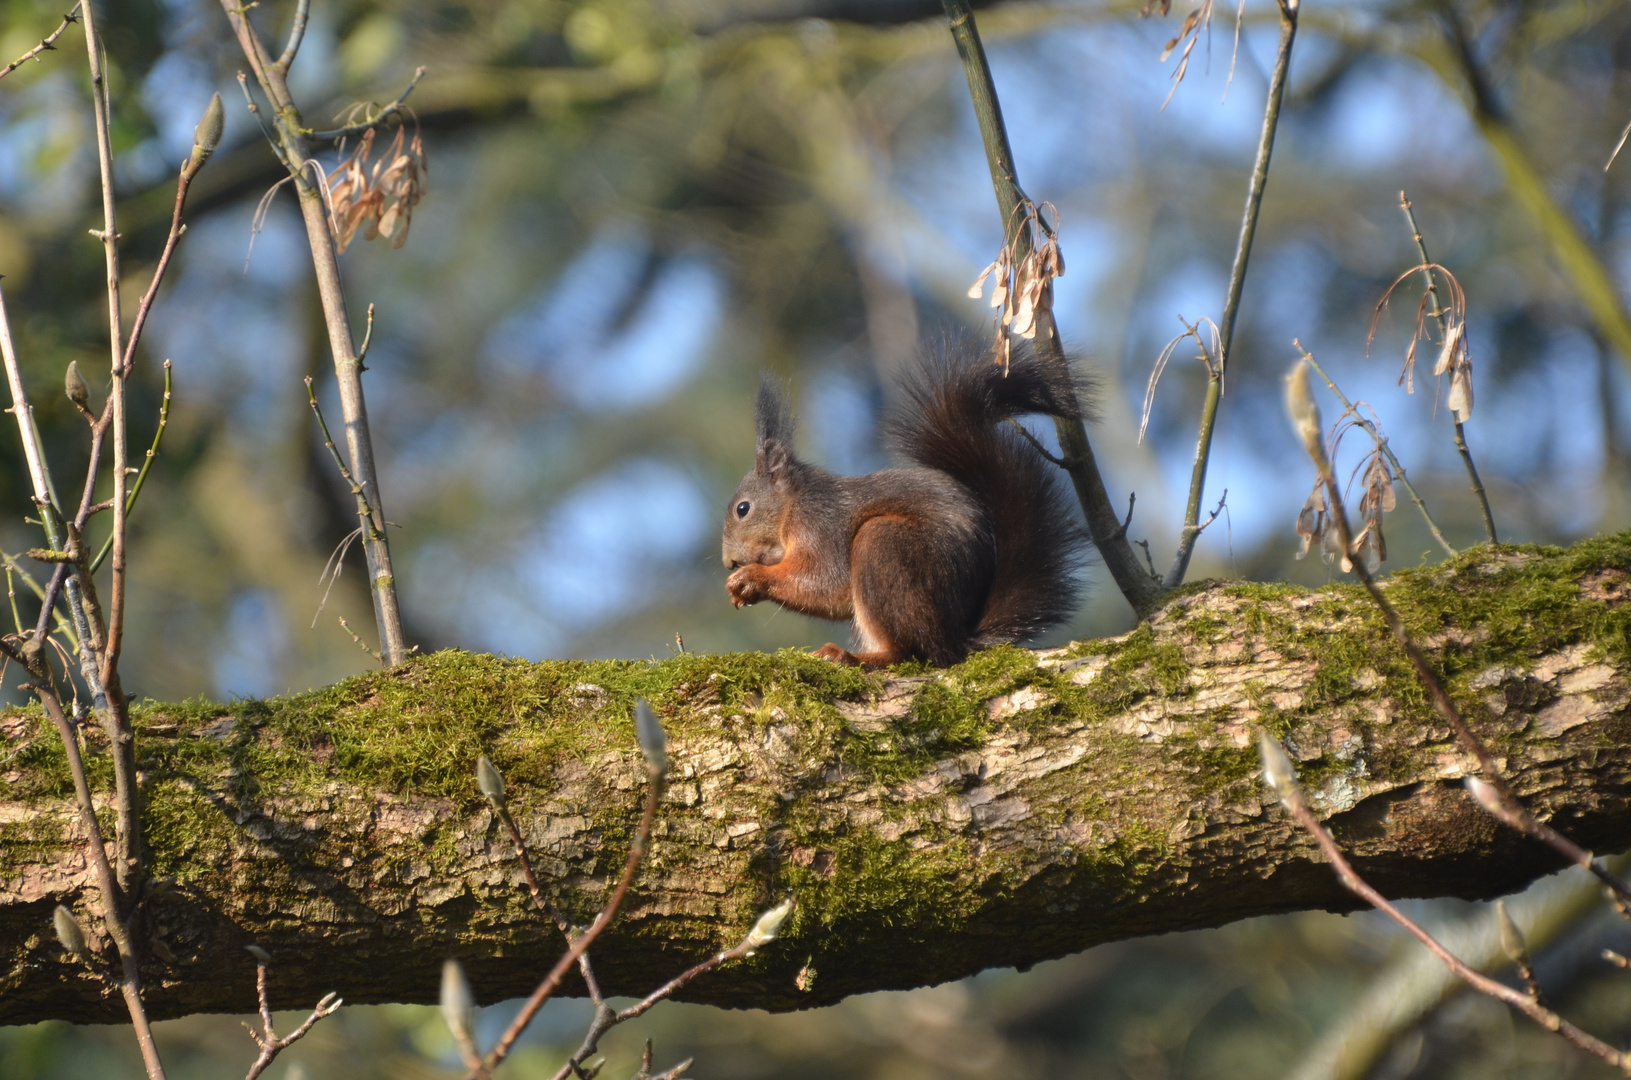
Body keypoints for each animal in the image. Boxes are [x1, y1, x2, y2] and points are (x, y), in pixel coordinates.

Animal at [724, 342, 1089, 668]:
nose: (729, 562)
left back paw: (853, 657)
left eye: (743, 509)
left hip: (884, 545)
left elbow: (826, 583)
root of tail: (955, 640)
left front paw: (751, 578)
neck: (793, 504)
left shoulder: (821, 524)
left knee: (910, 651)